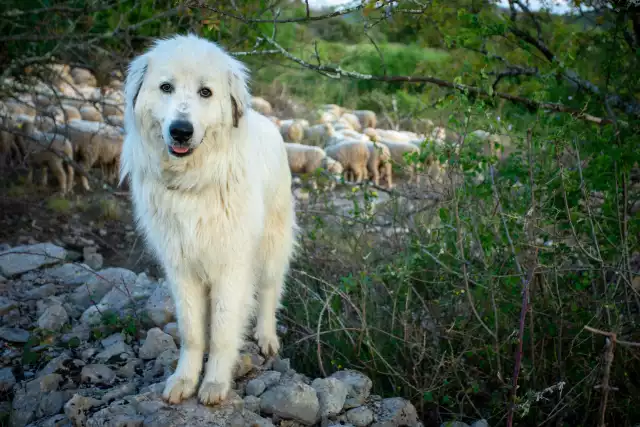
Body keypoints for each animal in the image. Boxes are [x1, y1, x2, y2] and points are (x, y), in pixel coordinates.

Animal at [119, 35, 296, 406]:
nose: (181, 131)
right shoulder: (180, 267)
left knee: (269, 291)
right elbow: (192, 333)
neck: (193, 183)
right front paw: (184, 380)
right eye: (166, 87)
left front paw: (214, 383)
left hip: (272, 246)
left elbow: (224, 332)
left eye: (205, 92)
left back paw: (266, 336)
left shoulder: (231, 266)